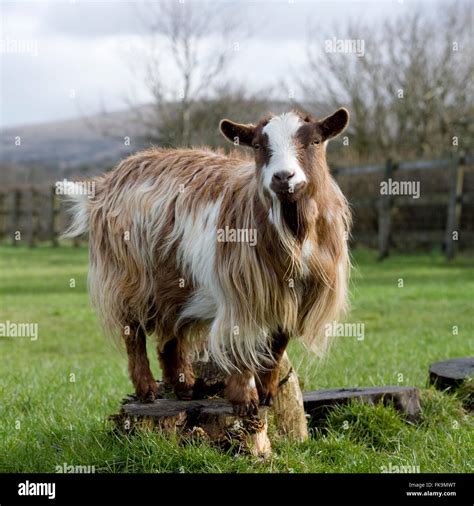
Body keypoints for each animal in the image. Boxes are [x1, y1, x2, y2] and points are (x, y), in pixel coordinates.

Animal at [65, 107, 350, 416]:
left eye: (315, 141)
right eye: (258, 146)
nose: (283, 177)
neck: (294, 232)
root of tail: (106, 184)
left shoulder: (295, 297)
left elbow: (276, 346)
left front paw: (267, 394)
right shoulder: (240, 293)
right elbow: (240, 344)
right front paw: (245, 401)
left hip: (174, 279)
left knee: (170, 333)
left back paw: (184, 388)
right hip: (128, 276)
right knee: (133, 331)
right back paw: (147, 390)